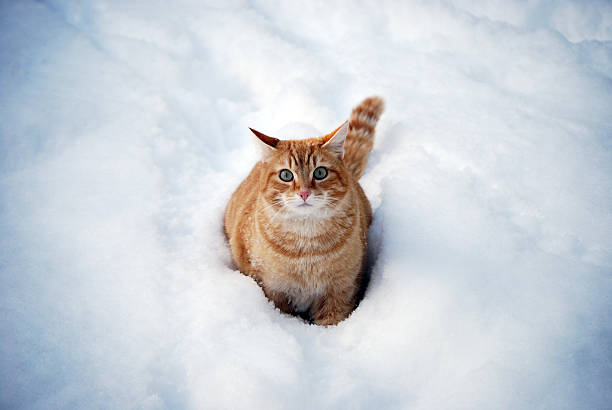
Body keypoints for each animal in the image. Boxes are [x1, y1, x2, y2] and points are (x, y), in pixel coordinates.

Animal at [225, 97, 384, 326]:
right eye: (285, 175)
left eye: (320, 172)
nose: (304, 193)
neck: (307, 247)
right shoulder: (273, 289)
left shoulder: (340, 292)